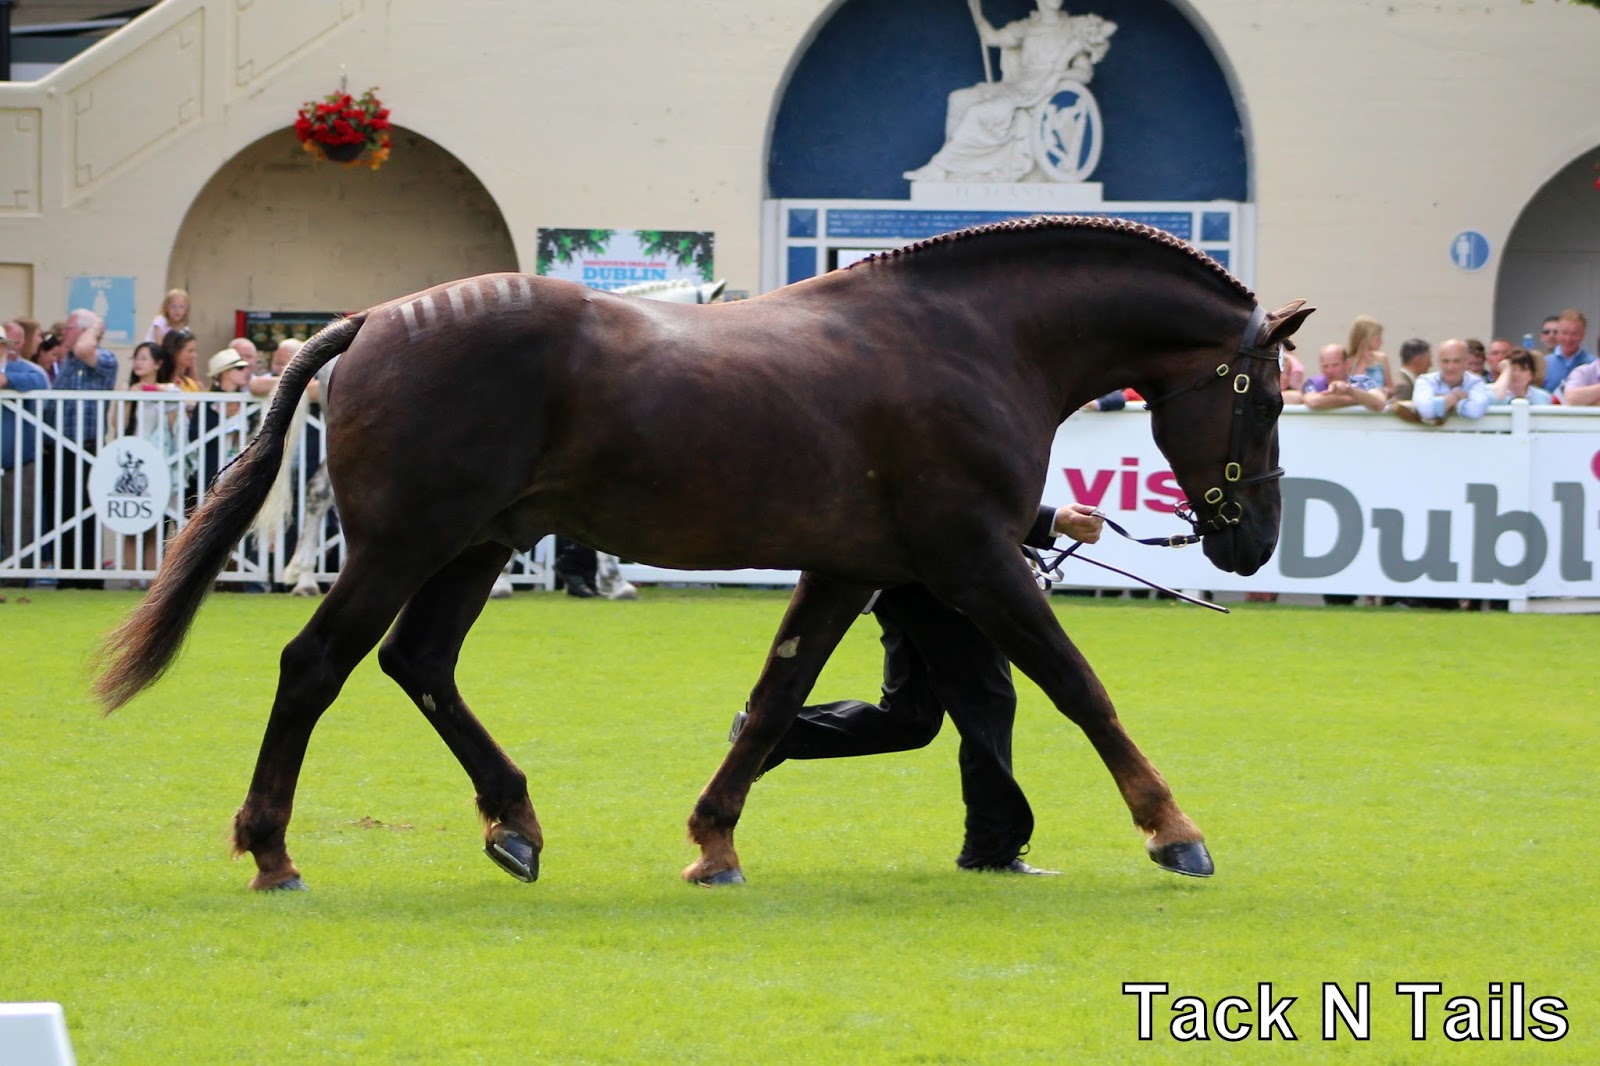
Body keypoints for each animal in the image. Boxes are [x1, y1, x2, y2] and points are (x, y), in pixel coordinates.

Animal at [95, 215, 1312, 891]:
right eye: (1264, 399)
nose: (1252, 540)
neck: (972, 341)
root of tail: (370, 320)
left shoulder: (855, 568)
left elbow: (776, 697)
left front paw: (713, 840)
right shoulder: (977, 561)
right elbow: (1078, 686)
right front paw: (1175, 833)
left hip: (476, 544)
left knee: (419, 664)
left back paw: (515, 823)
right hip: (402, 544)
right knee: (317, 667)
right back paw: (272, 851)